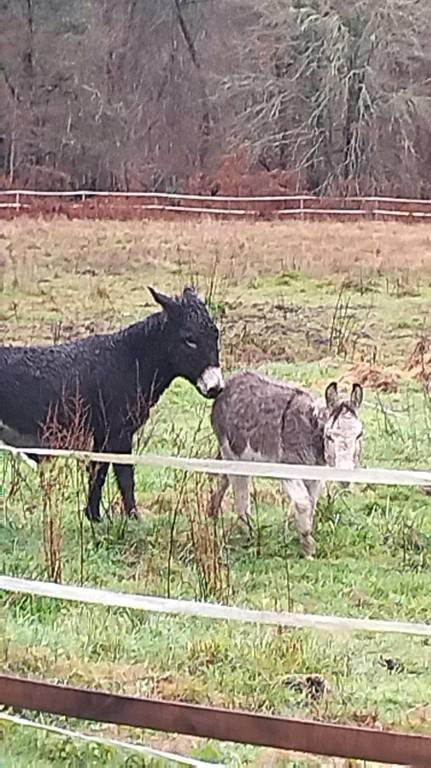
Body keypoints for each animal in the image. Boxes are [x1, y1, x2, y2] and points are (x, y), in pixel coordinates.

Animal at [0, 286, 224, 521]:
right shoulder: (119, 433)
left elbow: (99, 472)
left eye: (215, 334)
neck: (130, 361)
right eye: (189, 339)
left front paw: (93, 517)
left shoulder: (103, 436)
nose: (216, 387)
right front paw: (133, 518)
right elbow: (124, 477)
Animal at [209, 371, 364, 559]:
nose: (345, 477)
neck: (312, 432)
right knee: (240, 494)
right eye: (329, 437)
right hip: (232, 455)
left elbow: (312, 503)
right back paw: (248, 536)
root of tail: (231, 381)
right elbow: (303, 503)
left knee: (222, 479)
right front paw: (308, 550)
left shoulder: (316, 475)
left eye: (359, 435)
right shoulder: (289, 469)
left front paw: (303, 538)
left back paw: (212, 513)